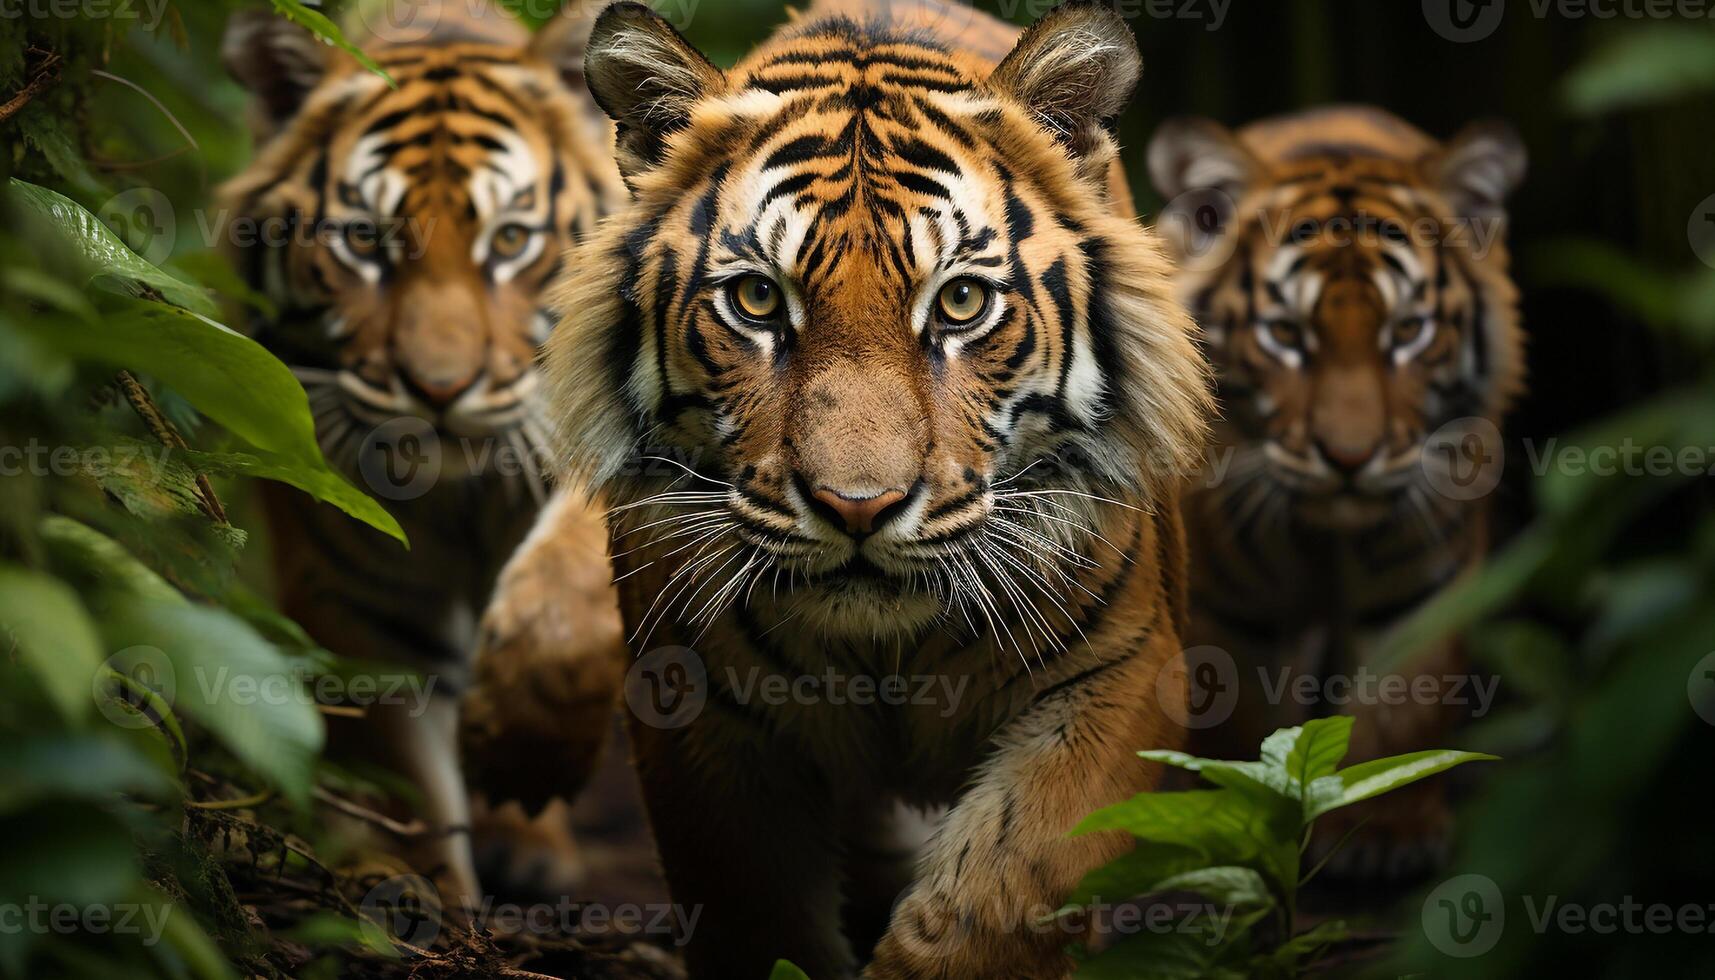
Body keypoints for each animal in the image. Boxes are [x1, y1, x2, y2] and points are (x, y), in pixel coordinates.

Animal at [217, 0, 627, 906]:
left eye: (509, 241)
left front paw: (525, 750)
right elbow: (402, 768)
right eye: (364, 241)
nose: (438, 388)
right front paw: (415, 891)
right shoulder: (362, 600)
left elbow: (570, 586)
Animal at [476, 0, 1214, 974]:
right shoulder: (705, 716)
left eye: (960, 304)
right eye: (755, 300)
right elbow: (756, 917)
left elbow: (1001, 895)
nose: (856, 509)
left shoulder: (1120, 677)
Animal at [1152, 109, 1529, 878]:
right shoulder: (1228, 606)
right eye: (1285, 335)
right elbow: (1232, 714)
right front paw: (1242, 826)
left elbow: (1402, 704)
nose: (1350, 458)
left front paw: (1384, 835)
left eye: (1408, 332)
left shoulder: (1419, 584)